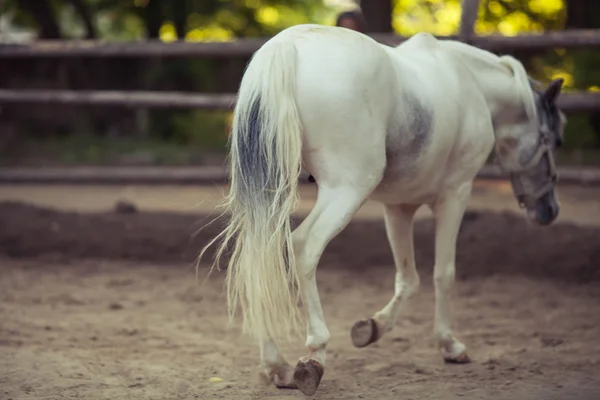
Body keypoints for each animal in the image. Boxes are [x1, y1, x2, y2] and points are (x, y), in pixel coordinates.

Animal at [203, 23, 568, 396]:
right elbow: (443, 273)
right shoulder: (455, 195)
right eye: (555, 140)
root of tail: (288, 45)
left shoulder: (398, 208)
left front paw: (371, 328)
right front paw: (450, 345)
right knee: (304, 247)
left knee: (259, 258)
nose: (549, 210)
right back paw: (313, 358)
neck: (471, 82)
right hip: (346, 191)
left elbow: (408, 279)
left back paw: (277, 365)